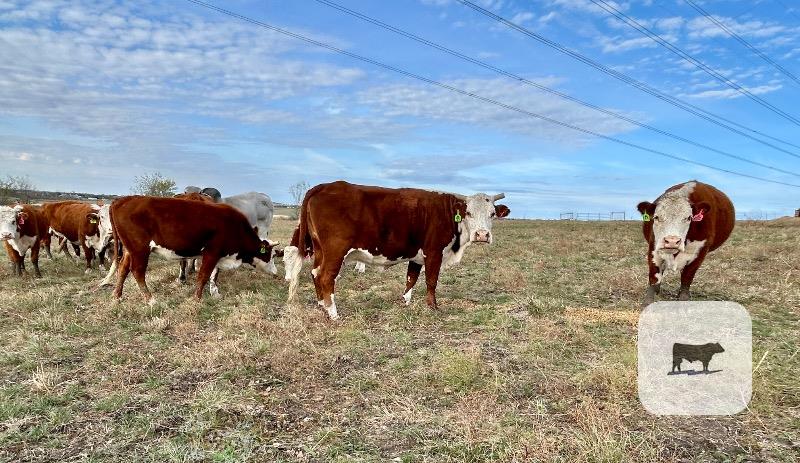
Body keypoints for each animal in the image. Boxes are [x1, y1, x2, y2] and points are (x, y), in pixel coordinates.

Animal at [109, 196, 277, 304]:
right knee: (137, 271)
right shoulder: (212, 252)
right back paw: (151, 300)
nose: (276, 272)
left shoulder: (216, 255)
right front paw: (197, 299)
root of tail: (122, 200)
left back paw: (117, 296)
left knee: (123, 269)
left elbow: (213, 274)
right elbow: (203, 276)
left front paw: (214, 293)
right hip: (140, 249)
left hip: (130, 250)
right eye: (271, 255)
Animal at [283, 181, 510, 320]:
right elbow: (431, 281)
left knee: (314, 273)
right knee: (325, 277)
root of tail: (324, 186)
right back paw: (333, 313)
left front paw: (406, 301)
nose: (482, 235)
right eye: (469, 213)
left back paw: (321, 305)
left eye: (492, 214)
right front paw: (433, 307)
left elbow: (411, 278)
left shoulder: (417, 256)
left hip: (320, 250)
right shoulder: (433, 252)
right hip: (335, 251)